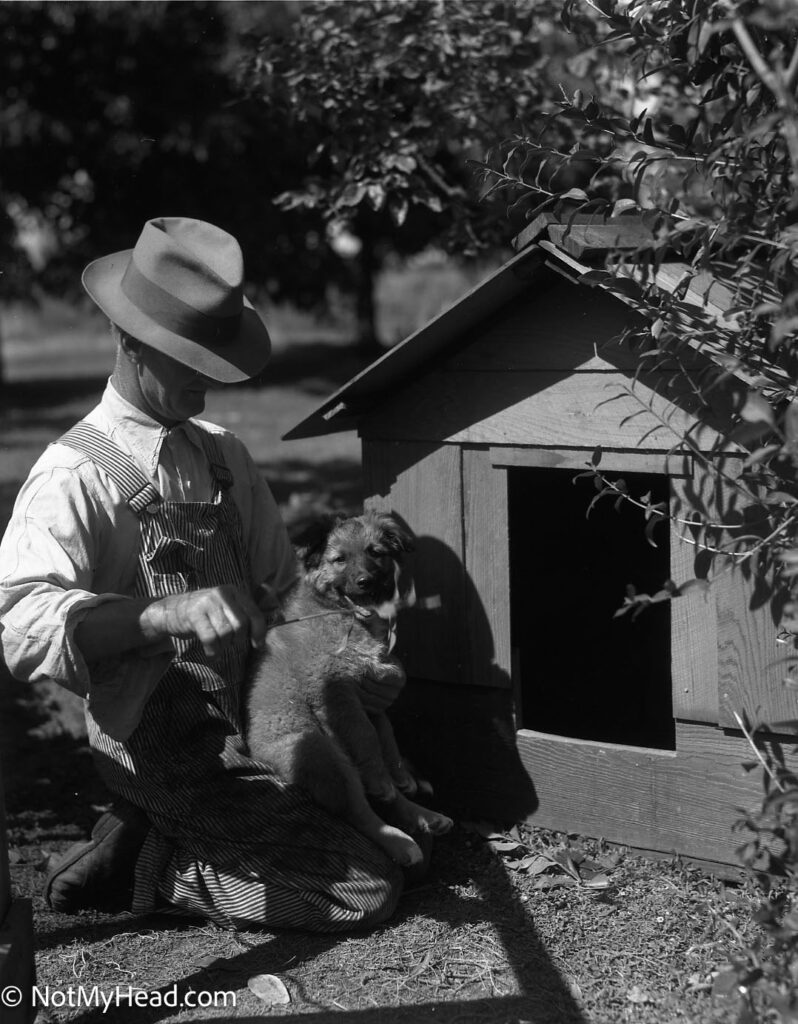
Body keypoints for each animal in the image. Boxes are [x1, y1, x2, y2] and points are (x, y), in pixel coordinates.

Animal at [246, 512, 452, 864]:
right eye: (339, 560)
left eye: (376, 553)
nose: (365, 581)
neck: (347, 617)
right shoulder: (333, 690)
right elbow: (364, 735)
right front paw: (383, 778)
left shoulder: (370, 693)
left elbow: (385, 734)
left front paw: (398, 774)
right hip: (321, 751)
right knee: (358, 810)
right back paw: (401, 842)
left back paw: (424, 815)